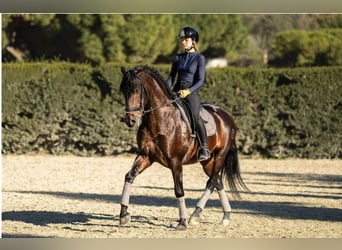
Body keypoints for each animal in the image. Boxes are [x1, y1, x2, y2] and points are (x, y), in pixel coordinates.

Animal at [119, 65, 247, 230]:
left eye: (136, 90)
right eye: (124, 90)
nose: (131, 120)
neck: (161, 119)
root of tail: (227, 116)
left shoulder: (176, 161)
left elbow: (179, 190)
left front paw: (182, 221)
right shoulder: (146, 156)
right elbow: (129, 176)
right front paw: (124, 214)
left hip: (220, 156)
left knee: (212, 182)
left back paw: (195, 215)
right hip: (208, 161)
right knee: (218, 182)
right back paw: (225, 215)